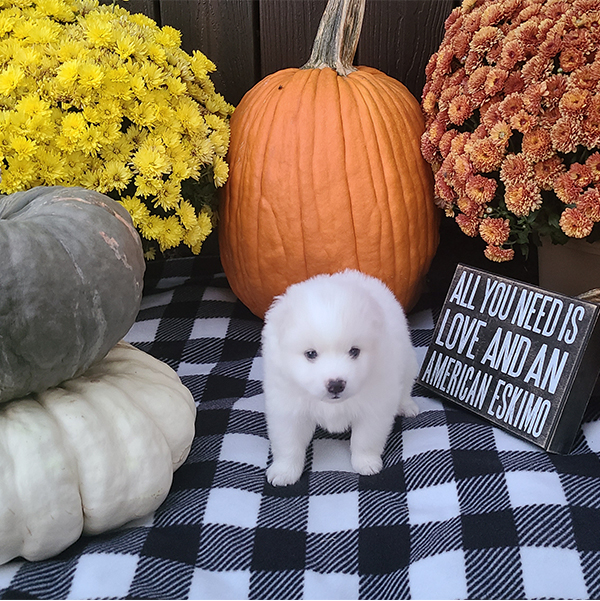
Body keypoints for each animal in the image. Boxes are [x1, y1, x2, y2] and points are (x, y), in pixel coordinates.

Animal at [260, 270, 420, 486]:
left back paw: (407, 406)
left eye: (354, 351)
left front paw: (366, 463)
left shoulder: (375, 405)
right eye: (311, 354)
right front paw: (284, 472)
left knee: (405, 388)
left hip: (408, 361)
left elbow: (365, 439)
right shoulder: (286, 406)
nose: (336, 385)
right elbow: (288, 443)